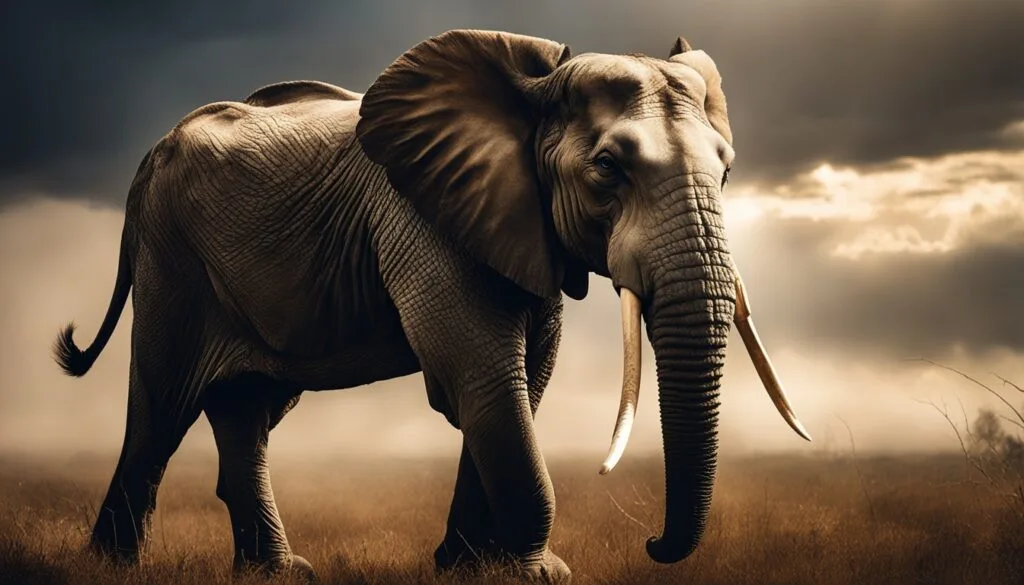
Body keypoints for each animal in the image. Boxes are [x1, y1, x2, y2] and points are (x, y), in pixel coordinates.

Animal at [53, 29, 809, 582]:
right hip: (172, 260)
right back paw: (116, 568)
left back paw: (278, 572)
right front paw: (539, 573)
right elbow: (483, 376)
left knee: (247, 409)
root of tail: (148, 159)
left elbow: (523, 380)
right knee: (162, 406)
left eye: (727, 171)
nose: (651, 542)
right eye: (607, 169)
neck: (531, 88)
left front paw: (466, 569)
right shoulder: (420, 215)